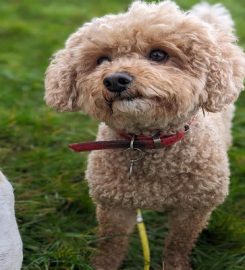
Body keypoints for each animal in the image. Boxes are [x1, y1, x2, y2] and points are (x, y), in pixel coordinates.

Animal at [44, 1, 245, 268]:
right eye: (102, 59)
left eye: (158, 55)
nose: (115, 79)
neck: (147, 142)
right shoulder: (114, 206)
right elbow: (111, 242)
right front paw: (103, 263)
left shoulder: (193, 209)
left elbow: (178, 244)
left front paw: (175, 264)